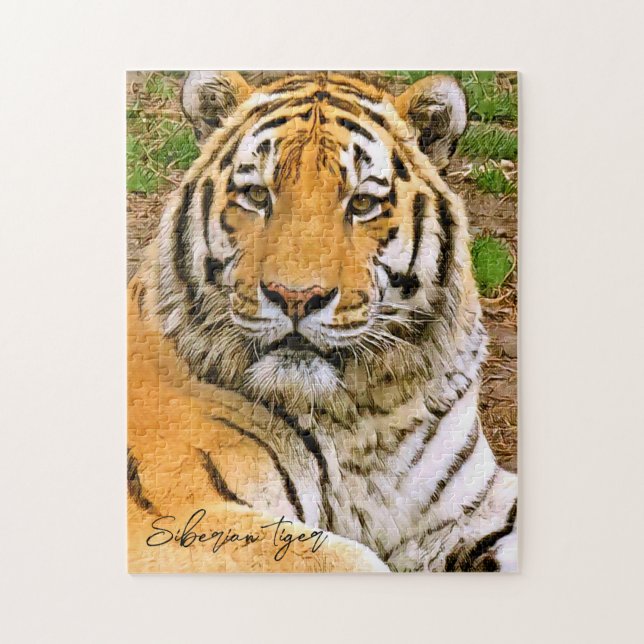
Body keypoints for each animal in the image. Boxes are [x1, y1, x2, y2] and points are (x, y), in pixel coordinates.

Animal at [127, 71, 518, 573]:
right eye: (257, 196)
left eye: (363, 203)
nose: (296, 298)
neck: (363, 418)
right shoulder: (180, 518)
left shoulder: (475, 505)